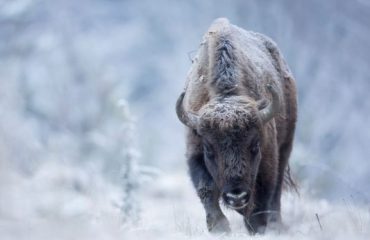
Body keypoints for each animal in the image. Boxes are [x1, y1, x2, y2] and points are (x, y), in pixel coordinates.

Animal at [176, 18, 298, 234]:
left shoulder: (268, 157)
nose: (236, 196)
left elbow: (262, 199)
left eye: (255, 145)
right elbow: (206, 190)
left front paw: (257, 228)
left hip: (286, 146)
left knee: (276, 192)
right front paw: (220, 227)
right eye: (209, 149)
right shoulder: (195, 151)